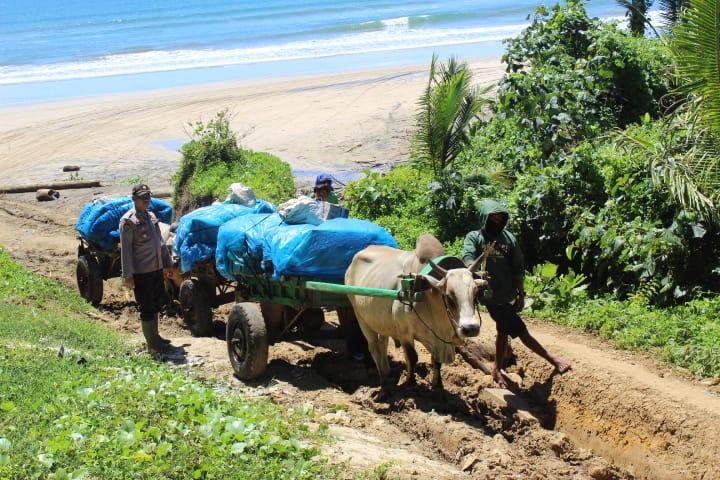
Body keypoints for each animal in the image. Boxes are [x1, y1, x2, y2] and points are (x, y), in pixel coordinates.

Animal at [344, 233, 490, 398]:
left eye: (476, 292)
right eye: (448, 295)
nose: (470, 328)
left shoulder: (438, 340)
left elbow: (436, 361)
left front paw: (438, 385)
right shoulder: (404, 332)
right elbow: (412, 357)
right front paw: (410, 383)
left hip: (382, 322)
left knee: (382, 344)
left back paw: (387, 372)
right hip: (362, 319)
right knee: (374, 347)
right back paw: (382, 383)